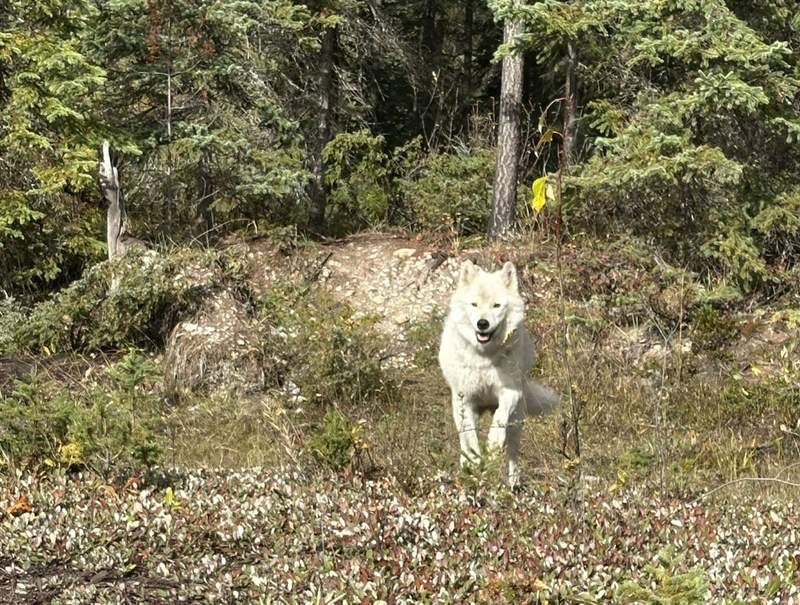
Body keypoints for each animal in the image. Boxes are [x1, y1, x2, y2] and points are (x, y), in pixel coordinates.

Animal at [438, 260, 558, 486]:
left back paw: (513, 484)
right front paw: (476, 461)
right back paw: (466, 470)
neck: (485, 358)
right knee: (464, 440)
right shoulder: (465, 400)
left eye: (496, 305)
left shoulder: (510, 393)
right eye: (474, 305)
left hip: (517, 419)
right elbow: (471, 441)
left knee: (512, 453)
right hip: (460, 411)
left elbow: (499, 420)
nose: (482, 324)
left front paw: (493, 444)